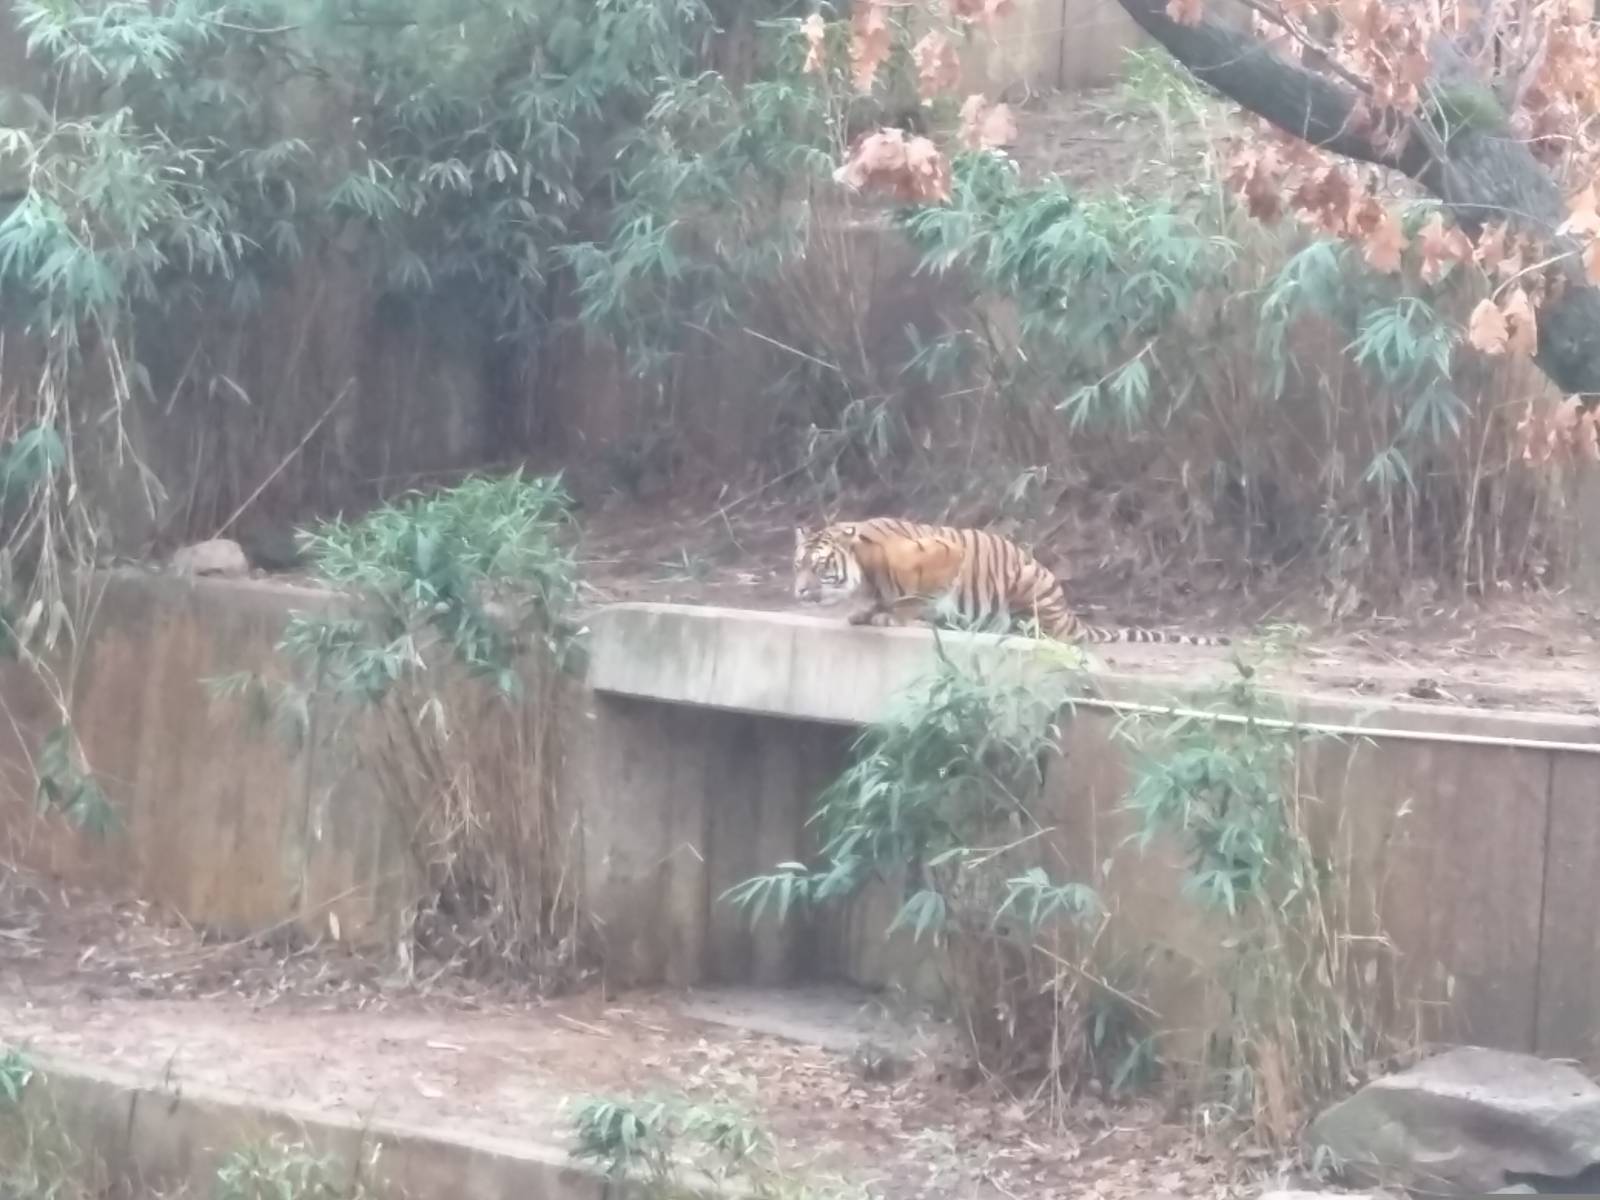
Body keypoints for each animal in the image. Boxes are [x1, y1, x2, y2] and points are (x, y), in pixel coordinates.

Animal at [792, 517, 1230, 647]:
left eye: (819, 566)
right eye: (798, 564)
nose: (797, 590)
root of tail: (1069, 613)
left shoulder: (942, 554)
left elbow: (916, 595)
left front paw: (893, 616)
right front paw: (866, 612)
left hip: (1026, 582)